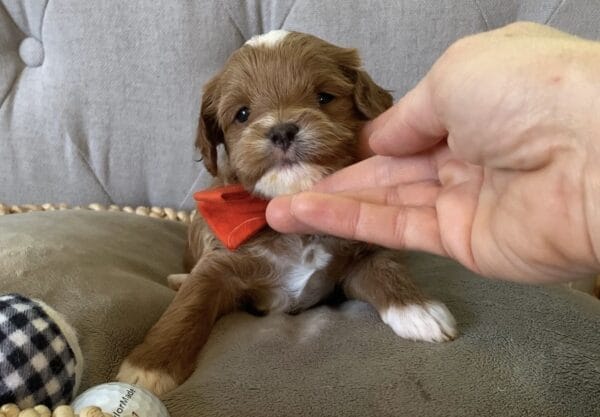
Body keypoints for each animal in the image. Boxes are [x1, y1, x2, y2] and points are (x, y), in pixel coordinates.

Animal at [116, 29, 454, 394]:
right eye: (243, 114)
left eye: (323, 97)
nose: (282, 130)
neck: (291, 209)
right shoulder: (219, 265)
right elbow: (189, 304)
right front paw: (148, 367)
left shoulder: (358, 254)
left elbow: (386, 269)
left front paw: (420, 311)